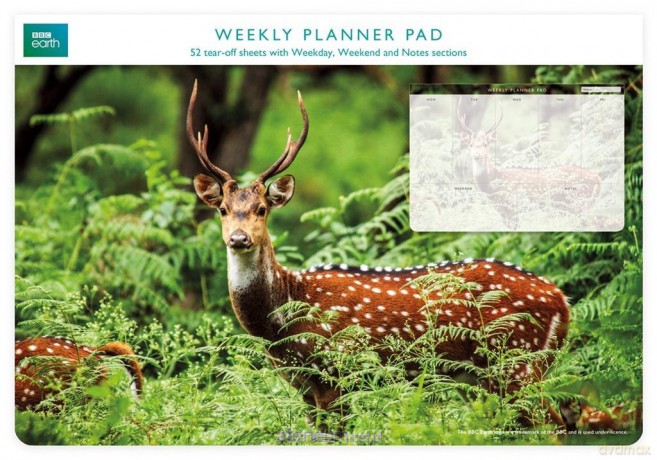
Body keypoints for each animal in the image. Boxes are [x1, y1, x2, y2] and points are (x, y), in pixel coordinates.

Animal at [188, 80, 570, 430]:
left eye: (262, 209)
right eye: (222, 209)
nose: (239, 238)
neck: (282, 322)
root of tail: (563, 302)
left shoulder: (336, 371)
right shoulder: (303, 386)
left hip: (518, 361)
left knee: (553, 423)